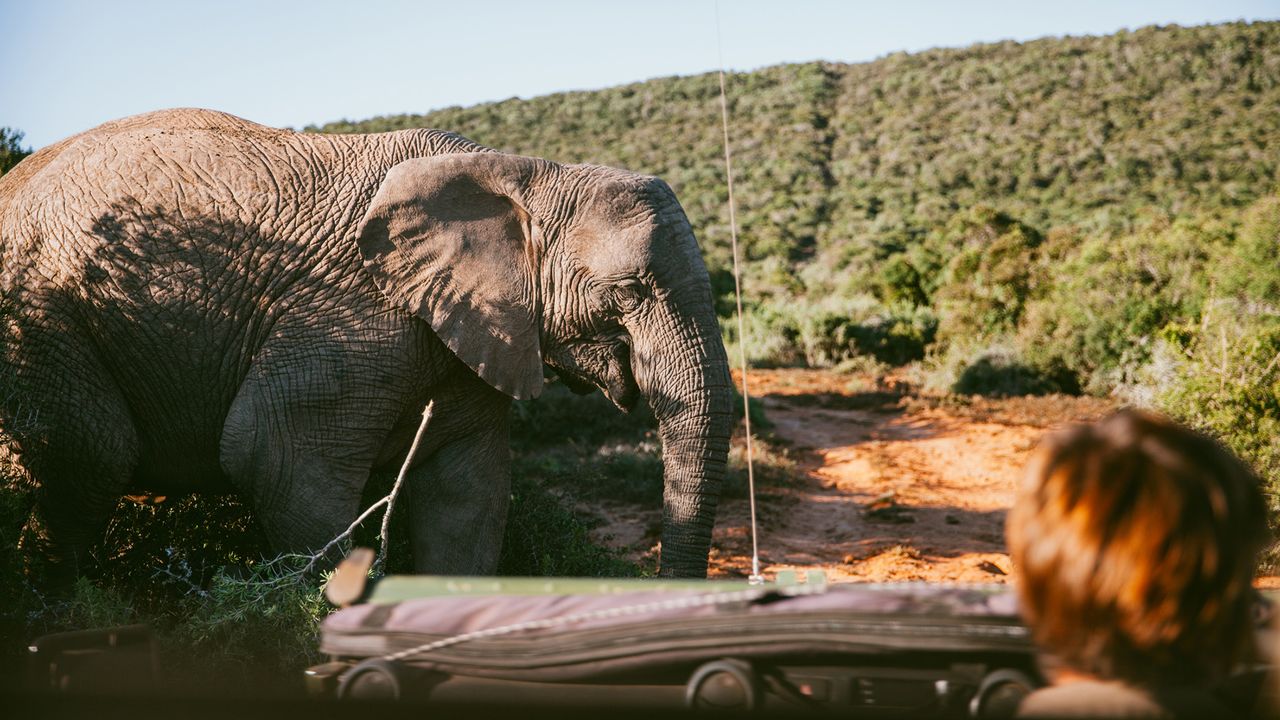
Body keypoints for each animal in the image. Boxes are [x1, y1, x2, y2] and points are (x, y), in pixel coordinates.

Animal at [0, 108, 733, 579]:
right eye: (632, 289)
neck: (523, 175)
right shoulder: (349, 312)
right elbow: (277, 457)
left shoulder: (467, 329)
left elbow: (468, 497)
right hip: (38, 319)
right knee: (92, 456)